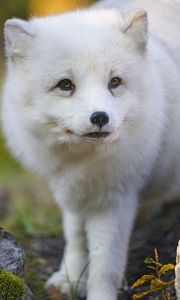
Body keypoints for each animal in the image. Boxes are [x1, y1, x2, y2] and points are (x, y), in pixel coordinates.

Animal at [2, 0, 180, 298]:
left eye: (115, 82)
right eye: (65, 85)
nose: (100, 117)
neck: (83, 161)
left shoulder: (116, 199)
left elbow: (104, 263)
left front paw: (98, 292)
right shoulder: (71, 191)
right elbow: (75, 238)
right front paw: (71, 278)